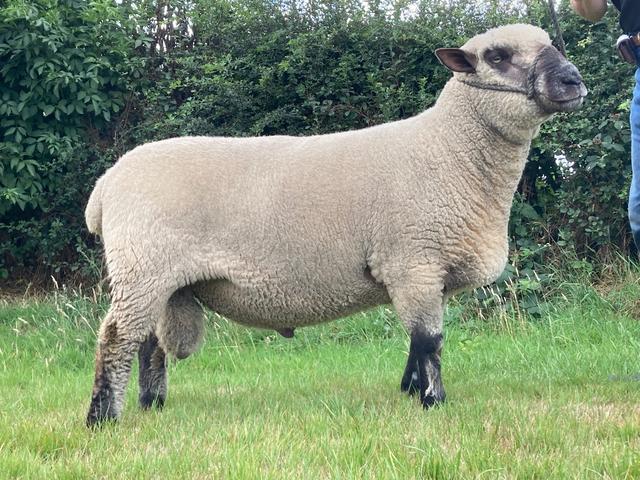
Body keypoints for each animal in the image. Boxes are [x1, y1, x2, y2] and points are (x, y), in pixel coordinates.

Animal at [84, 24, 586, 426]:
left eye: (553, 43)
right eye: (497, 56)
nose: (573, 80)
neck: (451, 150)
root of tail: (106, 185)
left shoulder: (424, 273)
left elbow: (416, 342)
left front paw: (409, 393)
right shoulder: (413, 260)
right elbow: (430, 341)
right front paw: (433, 403)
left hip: (158, 277)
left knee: (147, 343)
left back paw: (150, 404)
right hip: (142, 267)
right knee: (116, 338)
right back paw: (102, 419)